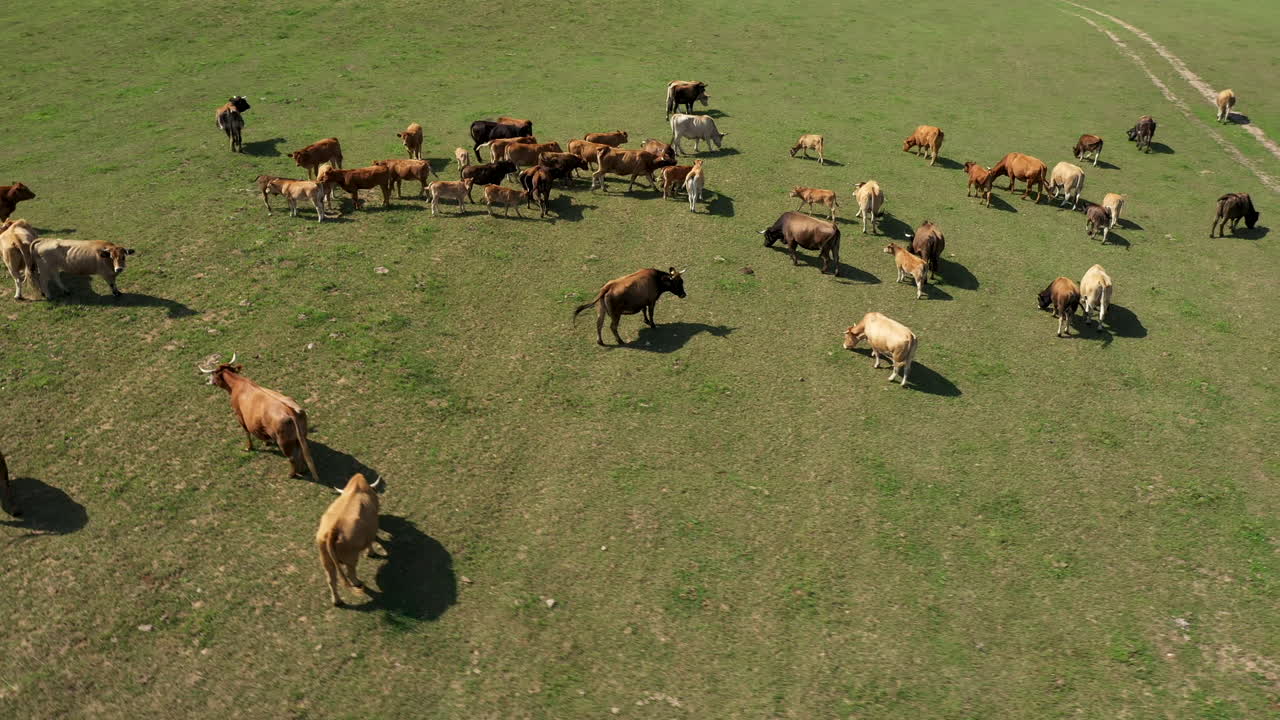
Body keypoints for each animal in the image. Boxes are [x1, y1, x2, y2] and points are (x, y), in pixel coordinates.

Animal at [316, 472, 386, 606]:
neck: (357, 487)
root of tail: (333, 530)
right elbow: (370, 541)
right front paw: (371, 553)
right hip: (350, 557)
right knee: (350, 573)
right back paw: (358, 583)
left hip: (326, 561)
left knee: (331, 580)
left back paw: (337, 601)